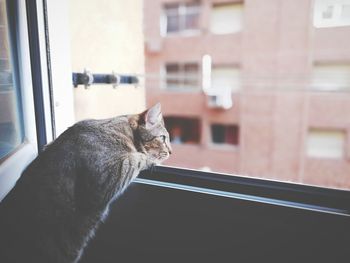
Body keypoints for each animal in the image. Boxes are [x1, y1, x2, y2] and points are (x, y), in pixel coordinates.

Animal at [0, 103, 171, 263]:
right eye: (163, 138)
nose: (171, 151)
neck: (120, 130)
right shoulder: (104, 179)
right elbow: (137, 158)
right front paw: (149, 159)